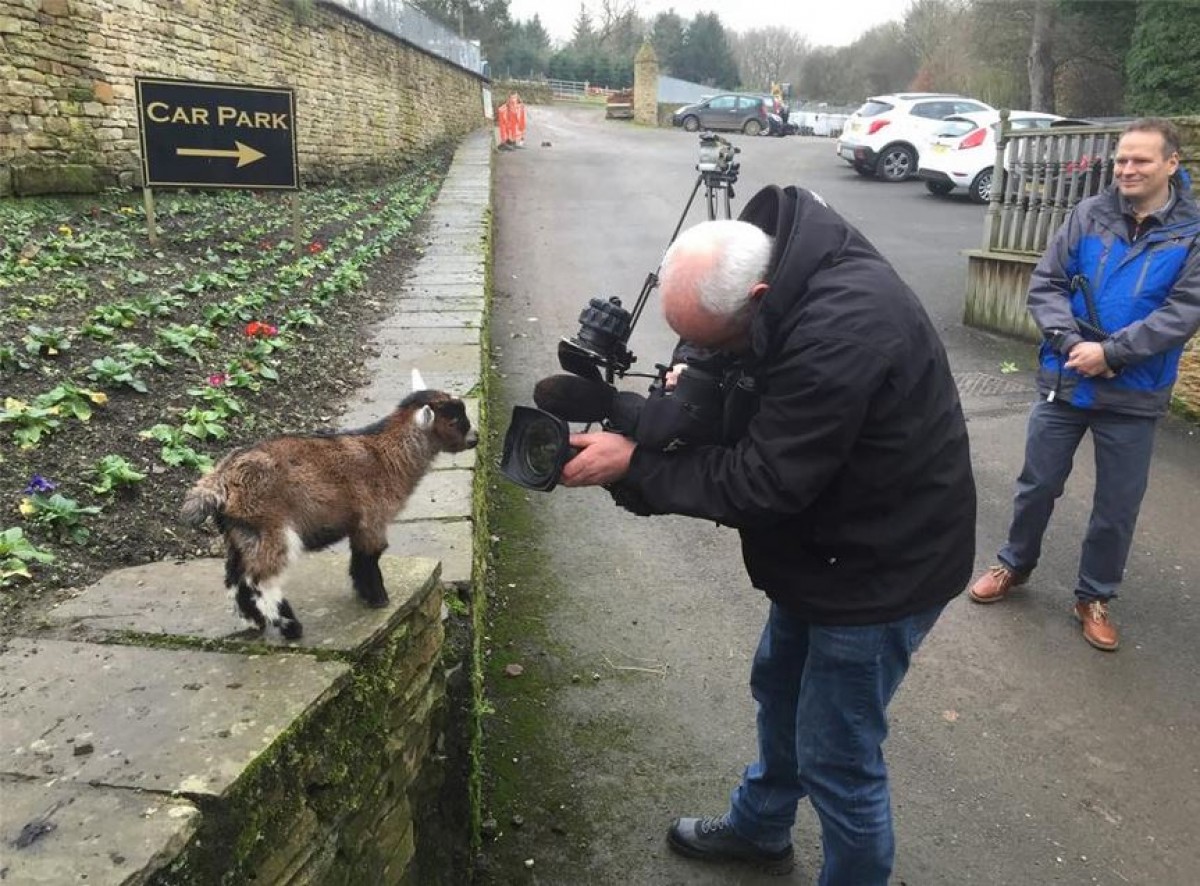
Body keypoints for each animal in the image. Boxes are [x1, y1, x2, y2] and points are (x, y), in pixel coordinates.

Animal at [180, 379, 475, 633]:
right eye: (454, 420)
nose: (475, 439)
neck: (385, 456)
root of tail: (222, 478)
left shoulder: (359, 523)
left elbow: (358, 558)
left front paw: (364, 594)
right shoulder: (373, 519)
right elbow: (370, 555)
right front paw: (378, 599)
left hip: (242, 532)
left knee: (236, 577)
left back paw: (254, 622)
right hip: (271, 527)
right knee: (260, 579)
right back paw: (290, 626)